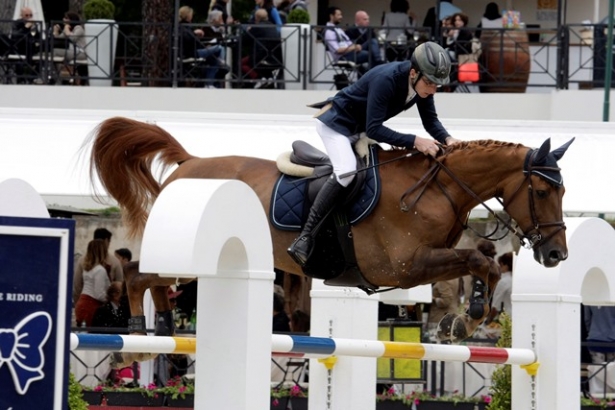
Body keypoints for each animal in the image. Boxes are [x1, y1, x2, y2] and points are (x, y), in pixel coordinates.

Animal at [86, 116, 572, 362]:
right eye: (542, 192)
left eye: (563, 191)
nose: (556, 254)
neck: (438, 188)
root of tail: (189, 162)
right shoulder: (405, 265)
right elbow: (479, 260)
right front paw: (466, 319)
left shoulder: (420, 262)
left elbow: (482, 264)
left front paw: (466, 320)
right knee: (135, 273)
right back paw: (136, 339)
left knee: (153, 279)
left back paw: (164, 330)